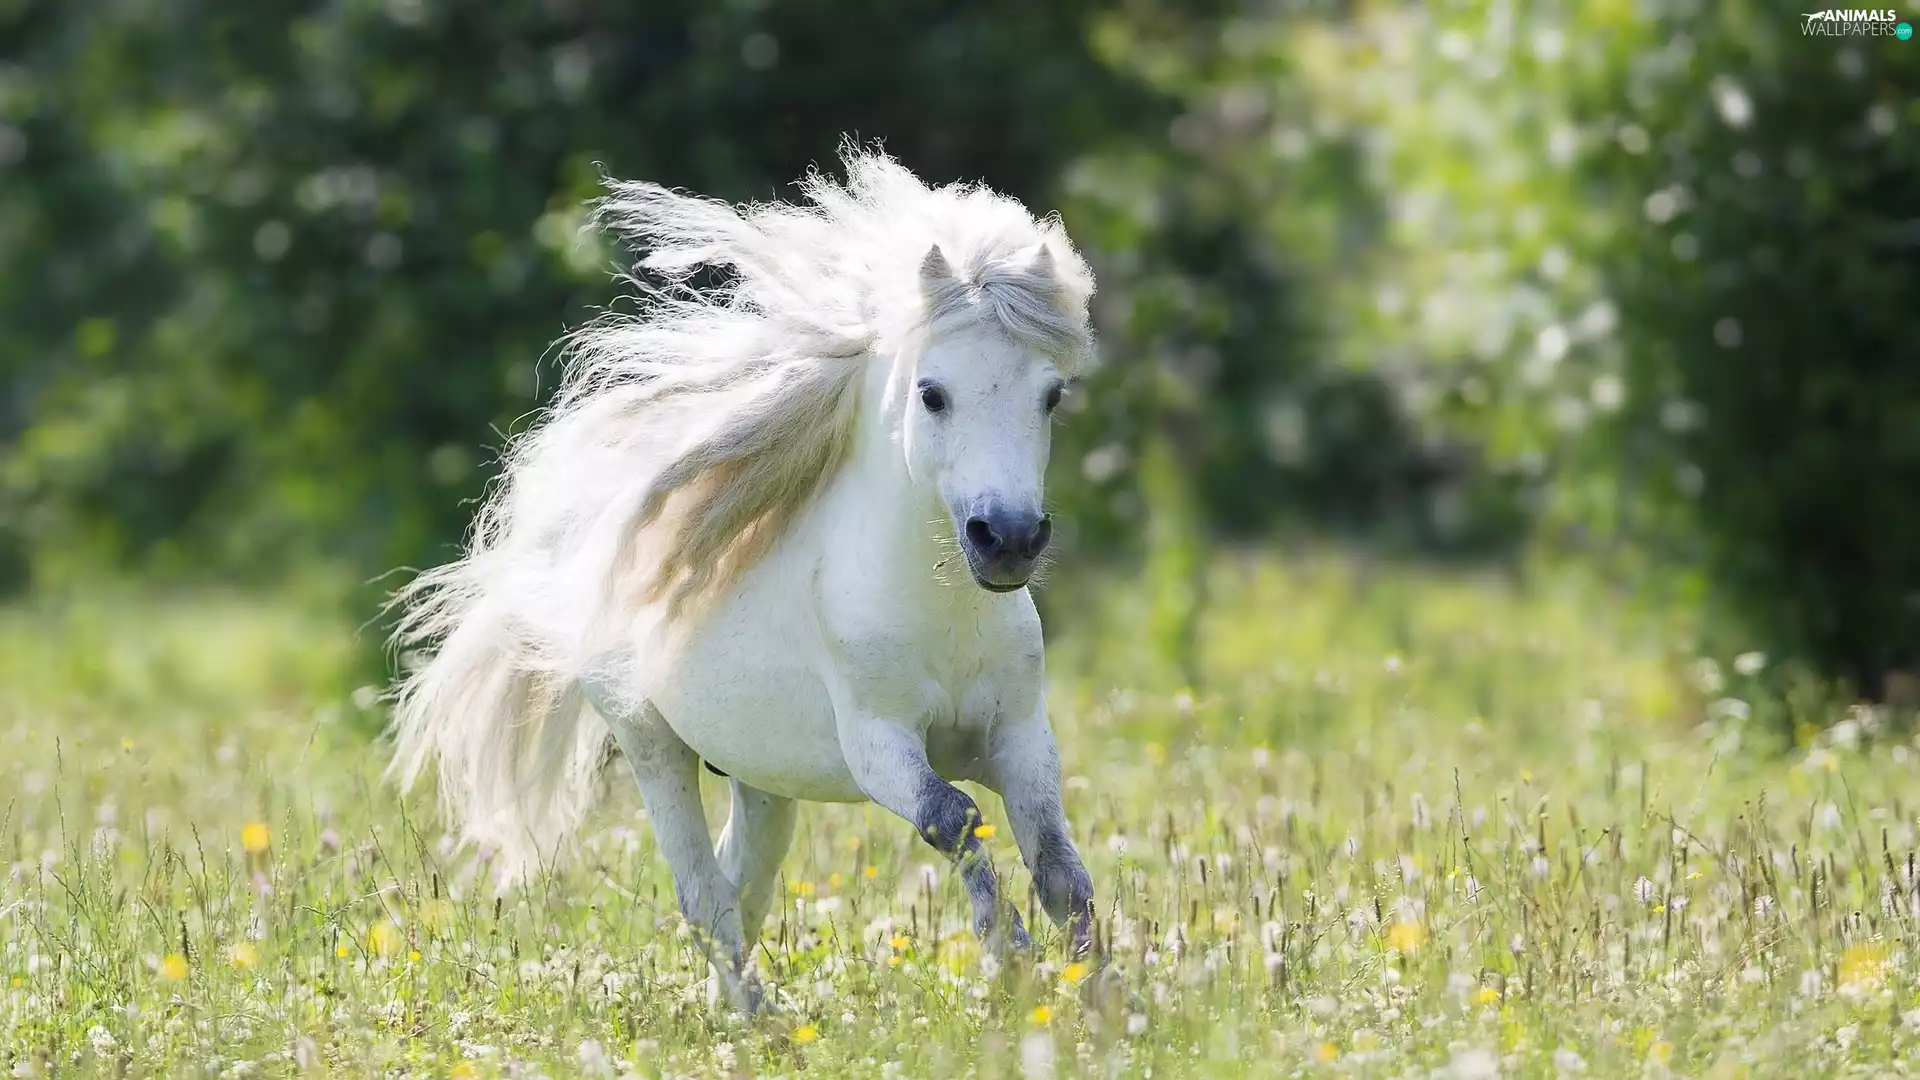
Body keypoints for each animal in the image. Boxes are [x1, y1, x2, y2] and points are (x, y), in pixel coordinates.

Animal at [386, 143, 1099, 1012]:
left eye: (1052, 395)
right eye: (933, 394)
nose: (1008, 540)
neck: (942, 615)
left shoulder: (1021, 737)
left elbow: (1061, 867)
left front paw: (1100, 995)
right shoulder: (878, 743)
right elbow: (954, 819)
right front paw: (1013, 961)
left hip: (763, 779)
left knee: (741, 883)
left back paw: (735, 1007)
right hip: (651, 745)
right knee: (703, 894)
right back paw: (757, 1017)